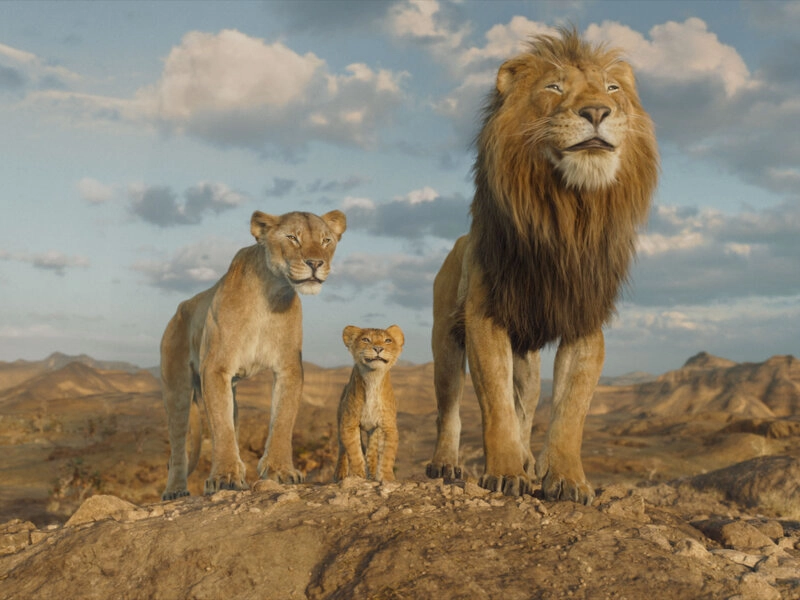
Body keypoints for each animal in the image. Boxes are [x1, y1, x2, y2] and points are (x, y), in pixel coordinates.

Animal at [160, 209, 346, 500]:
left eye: (326, 240)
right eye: (292, 238)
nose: (316, 263)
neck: (271, 293)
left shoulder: (289, 367)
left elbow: (282, 419)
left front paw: (281, 470)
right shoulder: (216, 368)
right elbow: (221, 427)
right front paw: (224, 477)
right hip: (176, 389)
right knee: (179, 445)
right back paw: (175, 490)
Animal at [334, 325, 404, 483]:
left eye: (388, 340)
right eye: (366, 339)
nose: (378, 348)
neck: (373, 378)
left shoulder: (388, 426)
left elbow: (387, 455)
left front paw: (386, 478)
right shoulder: (349, 424)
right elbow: (354, 452)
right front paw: (357, 476)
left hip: (374, 431)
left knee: (372, 453)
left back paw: (372, 473)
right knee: (342, 449)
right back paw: (340, 473)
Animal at [426, 29, 658, 504]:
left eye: (613, 89)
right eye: (554, 87)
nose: (597, 111)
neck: (567, 214)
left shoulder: (584, 321)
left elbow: (570, 411)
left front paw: (567, 479)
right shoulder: (485, 318)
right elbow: (495, 406)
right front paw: (504, 472)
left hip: (527, 362)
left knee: (527, 407)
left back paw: (529, 459)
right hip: (445, 341)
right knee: (449, 408)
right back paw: (445, 464)